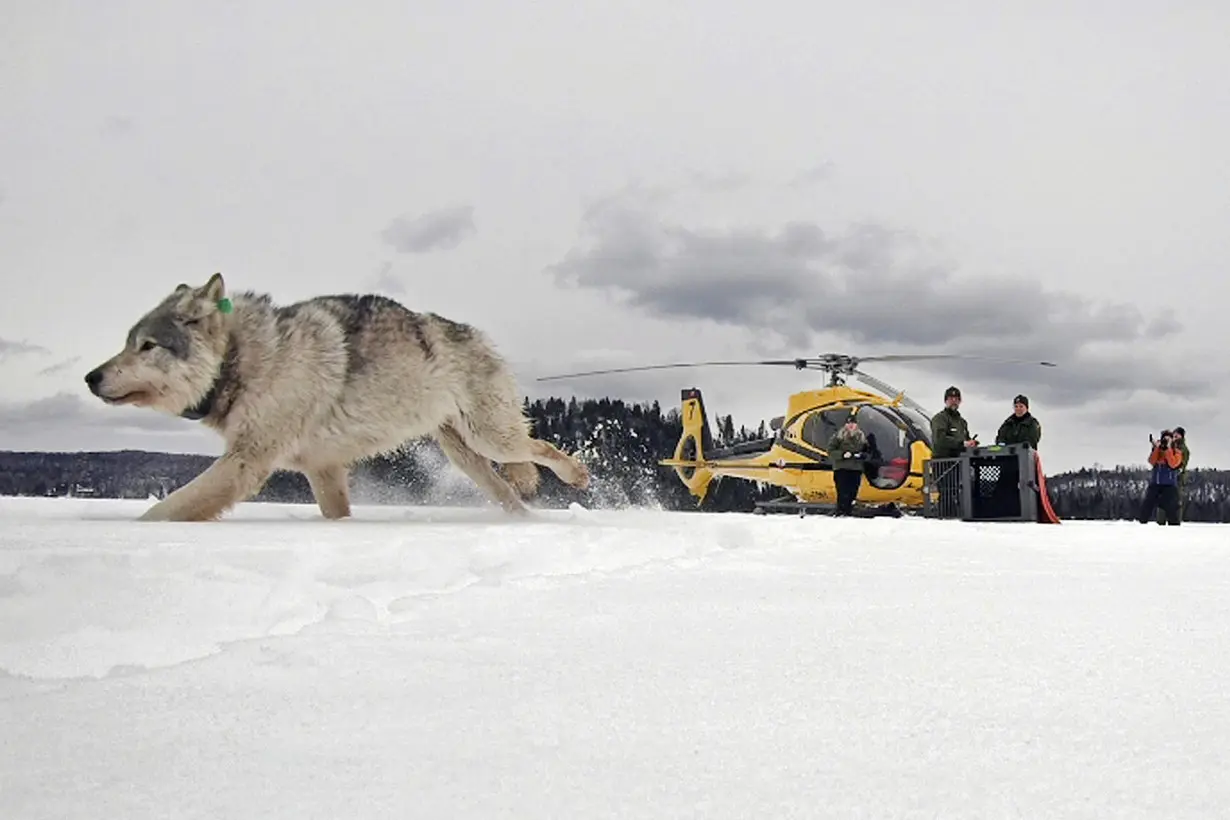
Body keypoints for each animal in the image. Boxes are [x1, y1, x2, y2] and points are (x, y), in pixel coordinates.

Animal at [83, 274, 590, 518]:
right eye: (128, 341)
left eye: (147, 345)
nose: (90, 377)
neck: (244, 359)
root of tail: (475, 332)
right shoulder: (322, 468)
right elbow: (336, 514)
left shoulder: (246, 462)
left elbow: (163, 512)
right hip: (466, 457)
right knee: (509, 492)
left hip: (491, 439)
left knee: (541, 448)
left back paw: (578, 475)